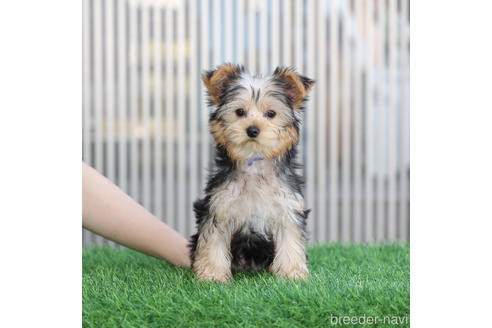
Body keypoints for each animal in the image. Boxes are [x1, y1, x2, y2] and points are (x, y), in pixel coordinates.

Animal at [188, 63, 316, 282]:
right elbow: (213, 241)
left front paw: (291, 273)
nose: (253, 130)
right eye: (240, 112)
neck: (254, 162)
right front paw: (212, 275)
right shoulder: (219, 206)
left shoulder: (287, 208)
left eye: (271, 114)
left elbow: (290, 240)